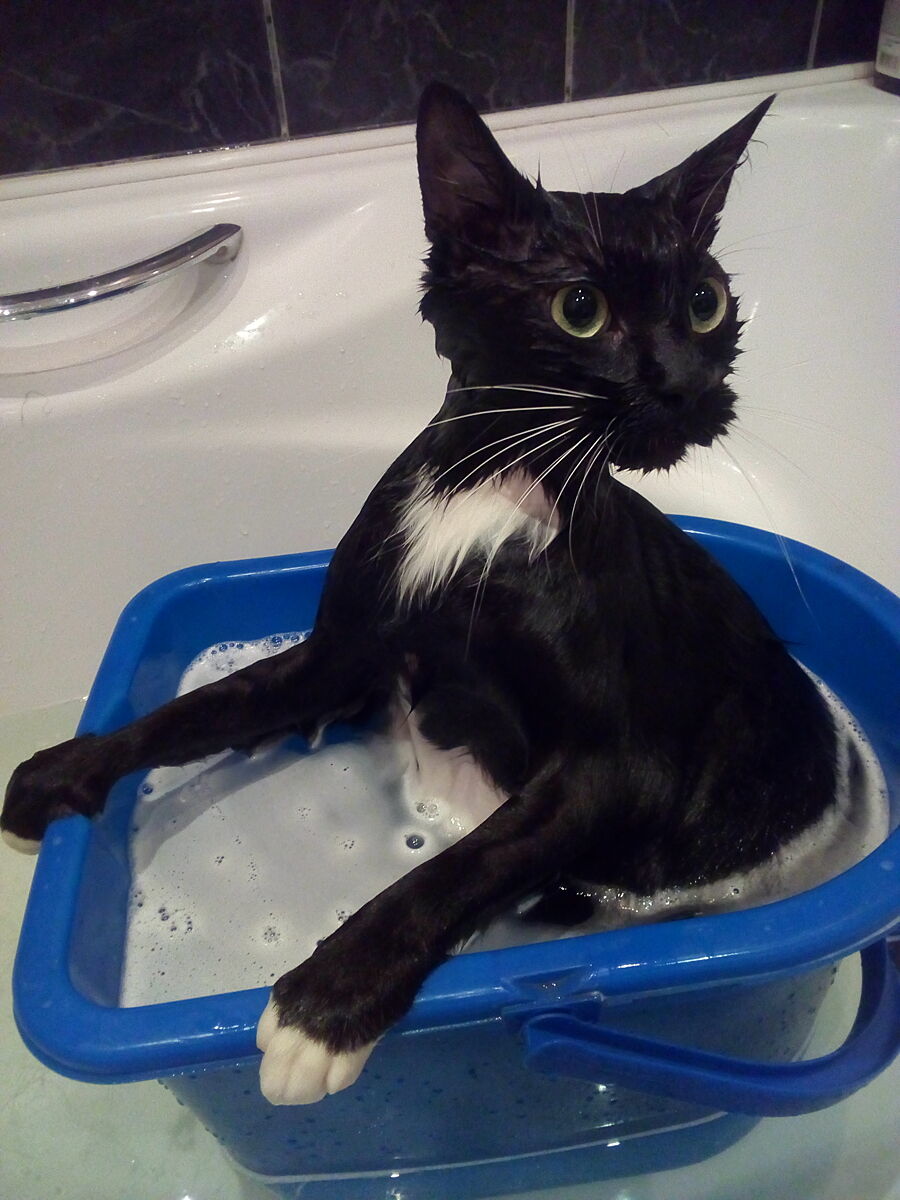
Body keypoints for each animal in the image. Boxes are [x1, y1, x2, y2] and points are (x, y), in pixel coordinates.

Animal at [1, 84, 838, 1107]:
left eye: (706, 304)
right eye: (580, 308)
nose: (687, 387)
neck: (492, 491)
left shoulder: (620, 767)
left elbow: (468, 864)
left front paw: (323, 1004)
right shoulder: (340, 656)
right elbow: (200, 707)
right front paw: (64, 769)